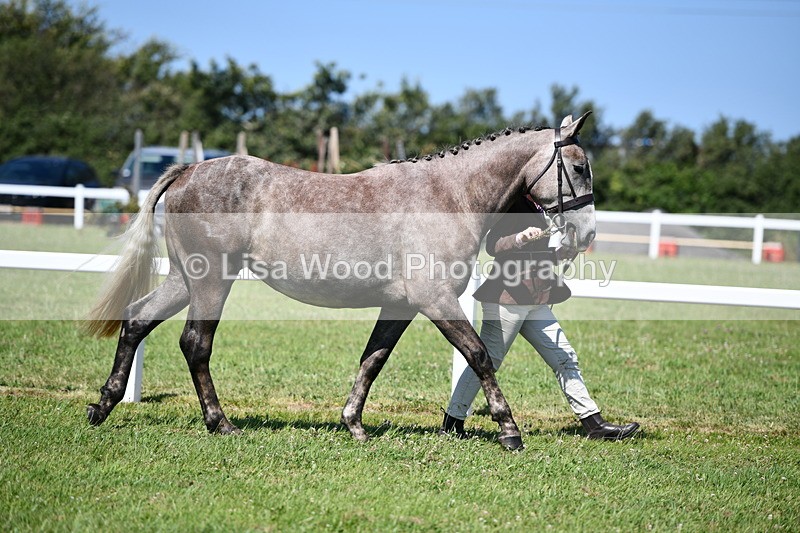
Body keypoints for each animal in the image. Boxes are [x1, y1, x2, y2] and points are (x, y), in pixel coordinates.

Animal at [85, 112, 596, 450]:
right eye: (577, 167)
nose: (586, 235)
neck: (449, 196)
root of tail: (188, 170)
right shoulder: (436, 300)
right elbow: (479, 356)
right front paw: (510, 431)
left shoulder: (402, 306)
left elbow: (373, 359)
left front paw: (353, 423)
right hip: (211, 281)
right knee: (195, 344)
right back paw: (220, 422)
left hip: (184, 280)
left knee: (137, 320)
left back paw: (103, 406)